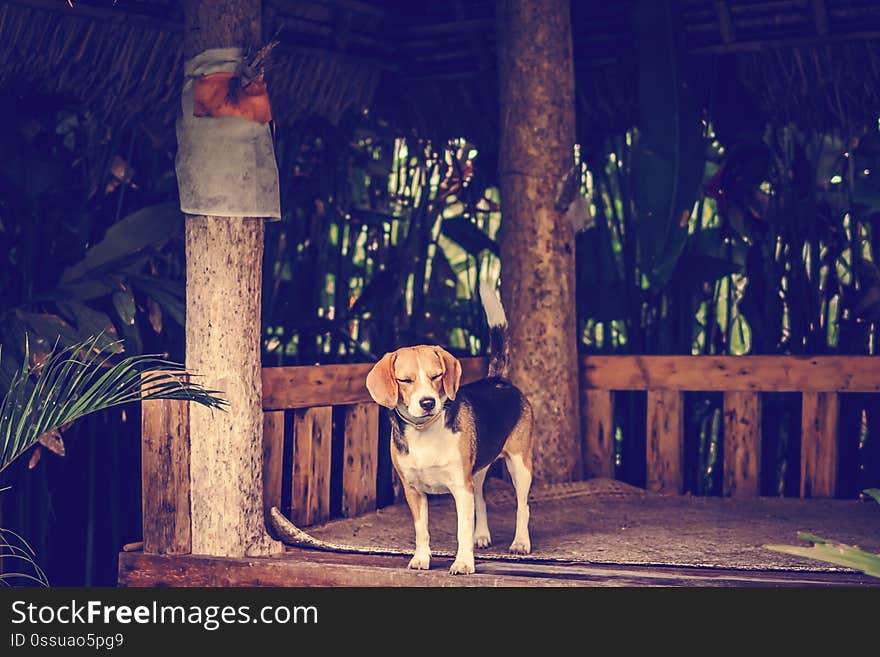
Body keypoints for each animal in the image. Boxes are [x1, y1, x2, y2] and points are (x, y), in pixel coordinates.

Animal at [366, 282, 532, 576]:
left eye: (436, 376)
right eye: (405, 380)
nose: (427, 402)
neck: (424, 432)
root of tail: (498, 379)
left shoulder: (460, 487)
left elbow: (461, 530)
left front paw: (463, 562)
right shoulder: (414, 490)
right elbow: (422, 531)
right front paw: (422, 559)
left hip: (520, 465)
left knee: (523, 507)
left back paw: (520, 542)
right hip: (477, 472)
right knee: (481, 500)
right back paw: (482, 536)